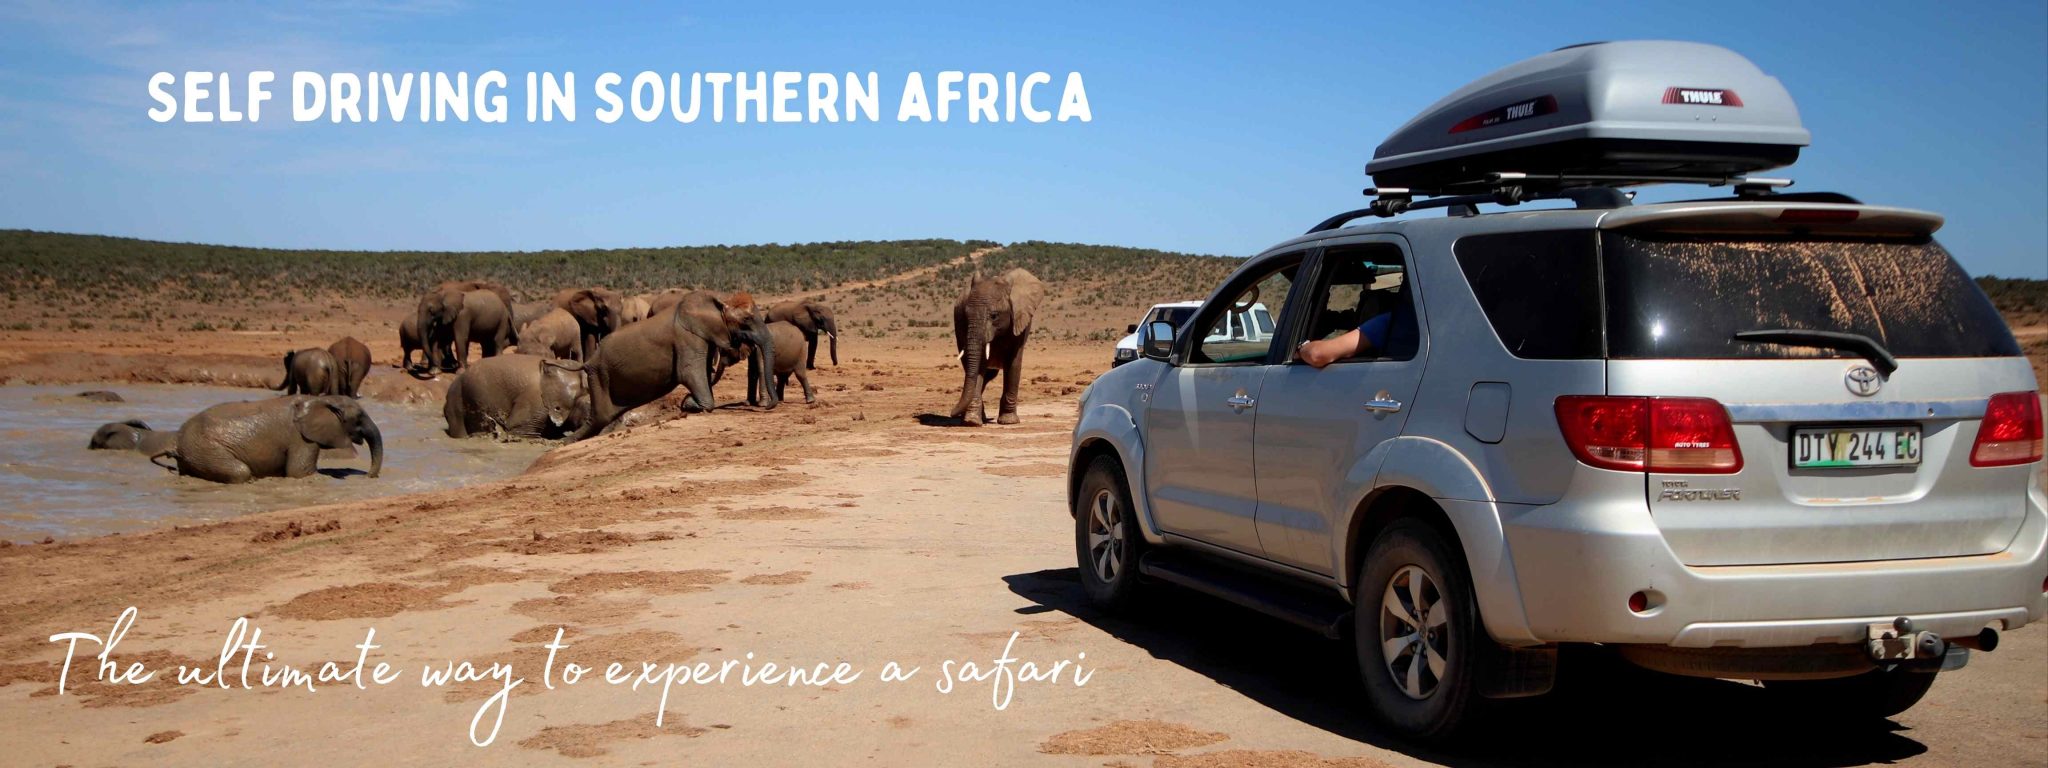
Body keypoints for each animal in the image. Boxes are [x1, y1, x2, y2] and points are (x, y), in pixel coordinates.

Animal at [160, 393, 385, 483]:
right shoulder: (301, 439)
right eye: (359, 417)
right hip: (204, 448)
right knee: (240, 472)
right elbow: (299, 473)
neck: (319, 400)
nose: (367, 476)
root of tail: (177, 442)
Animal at [942, 268, 1040, 428]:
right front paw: (971, 422)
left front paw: (1009, 421)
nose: (952, 412)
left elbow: (1013, 364)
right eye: (965, 316)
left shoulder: (1020, 321)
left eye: (994, 316)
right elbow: (978, 366)